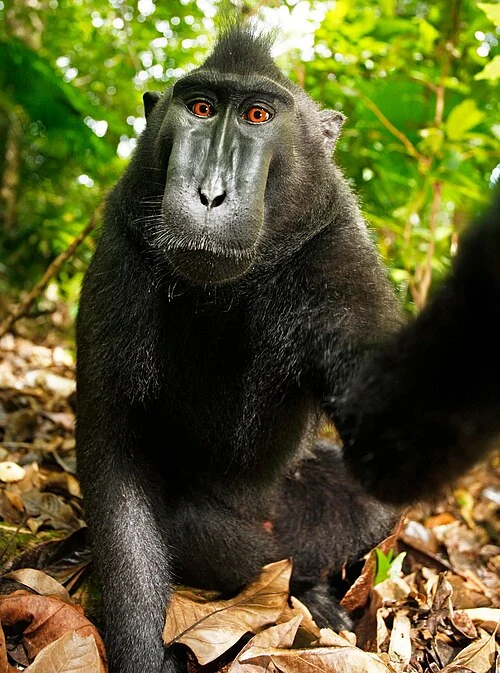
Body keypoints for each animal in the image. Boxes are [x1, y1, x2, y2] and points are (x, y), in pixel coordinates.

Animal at [76, 26, 500, 673]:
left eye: (257, 115)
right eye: (200, 108)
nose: (210, 194)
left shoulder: (336, 250)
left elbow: (390, 440)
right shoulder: (121, 252)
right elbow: (115, 459)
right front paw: (143, 657)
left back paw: (317, 595)